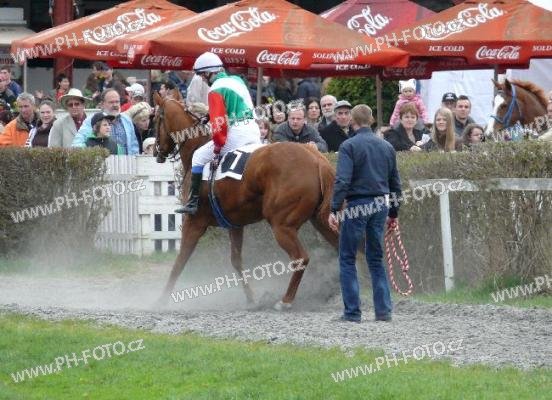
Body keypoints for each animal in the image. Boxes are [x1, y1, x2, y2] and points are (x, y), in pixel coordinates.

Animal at [152, 90, 338, 310]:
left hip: (282, 225)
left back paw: (285, 300)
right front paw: (251, 298)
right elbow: (236, 260)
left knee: (301, 258)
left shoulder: (194, 222)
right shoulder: (234, 224)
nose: (155, 151)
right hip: (322, 221)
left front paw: (162, 299)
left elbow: (180, 260)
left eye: (156, 119)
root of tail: (317, 159)